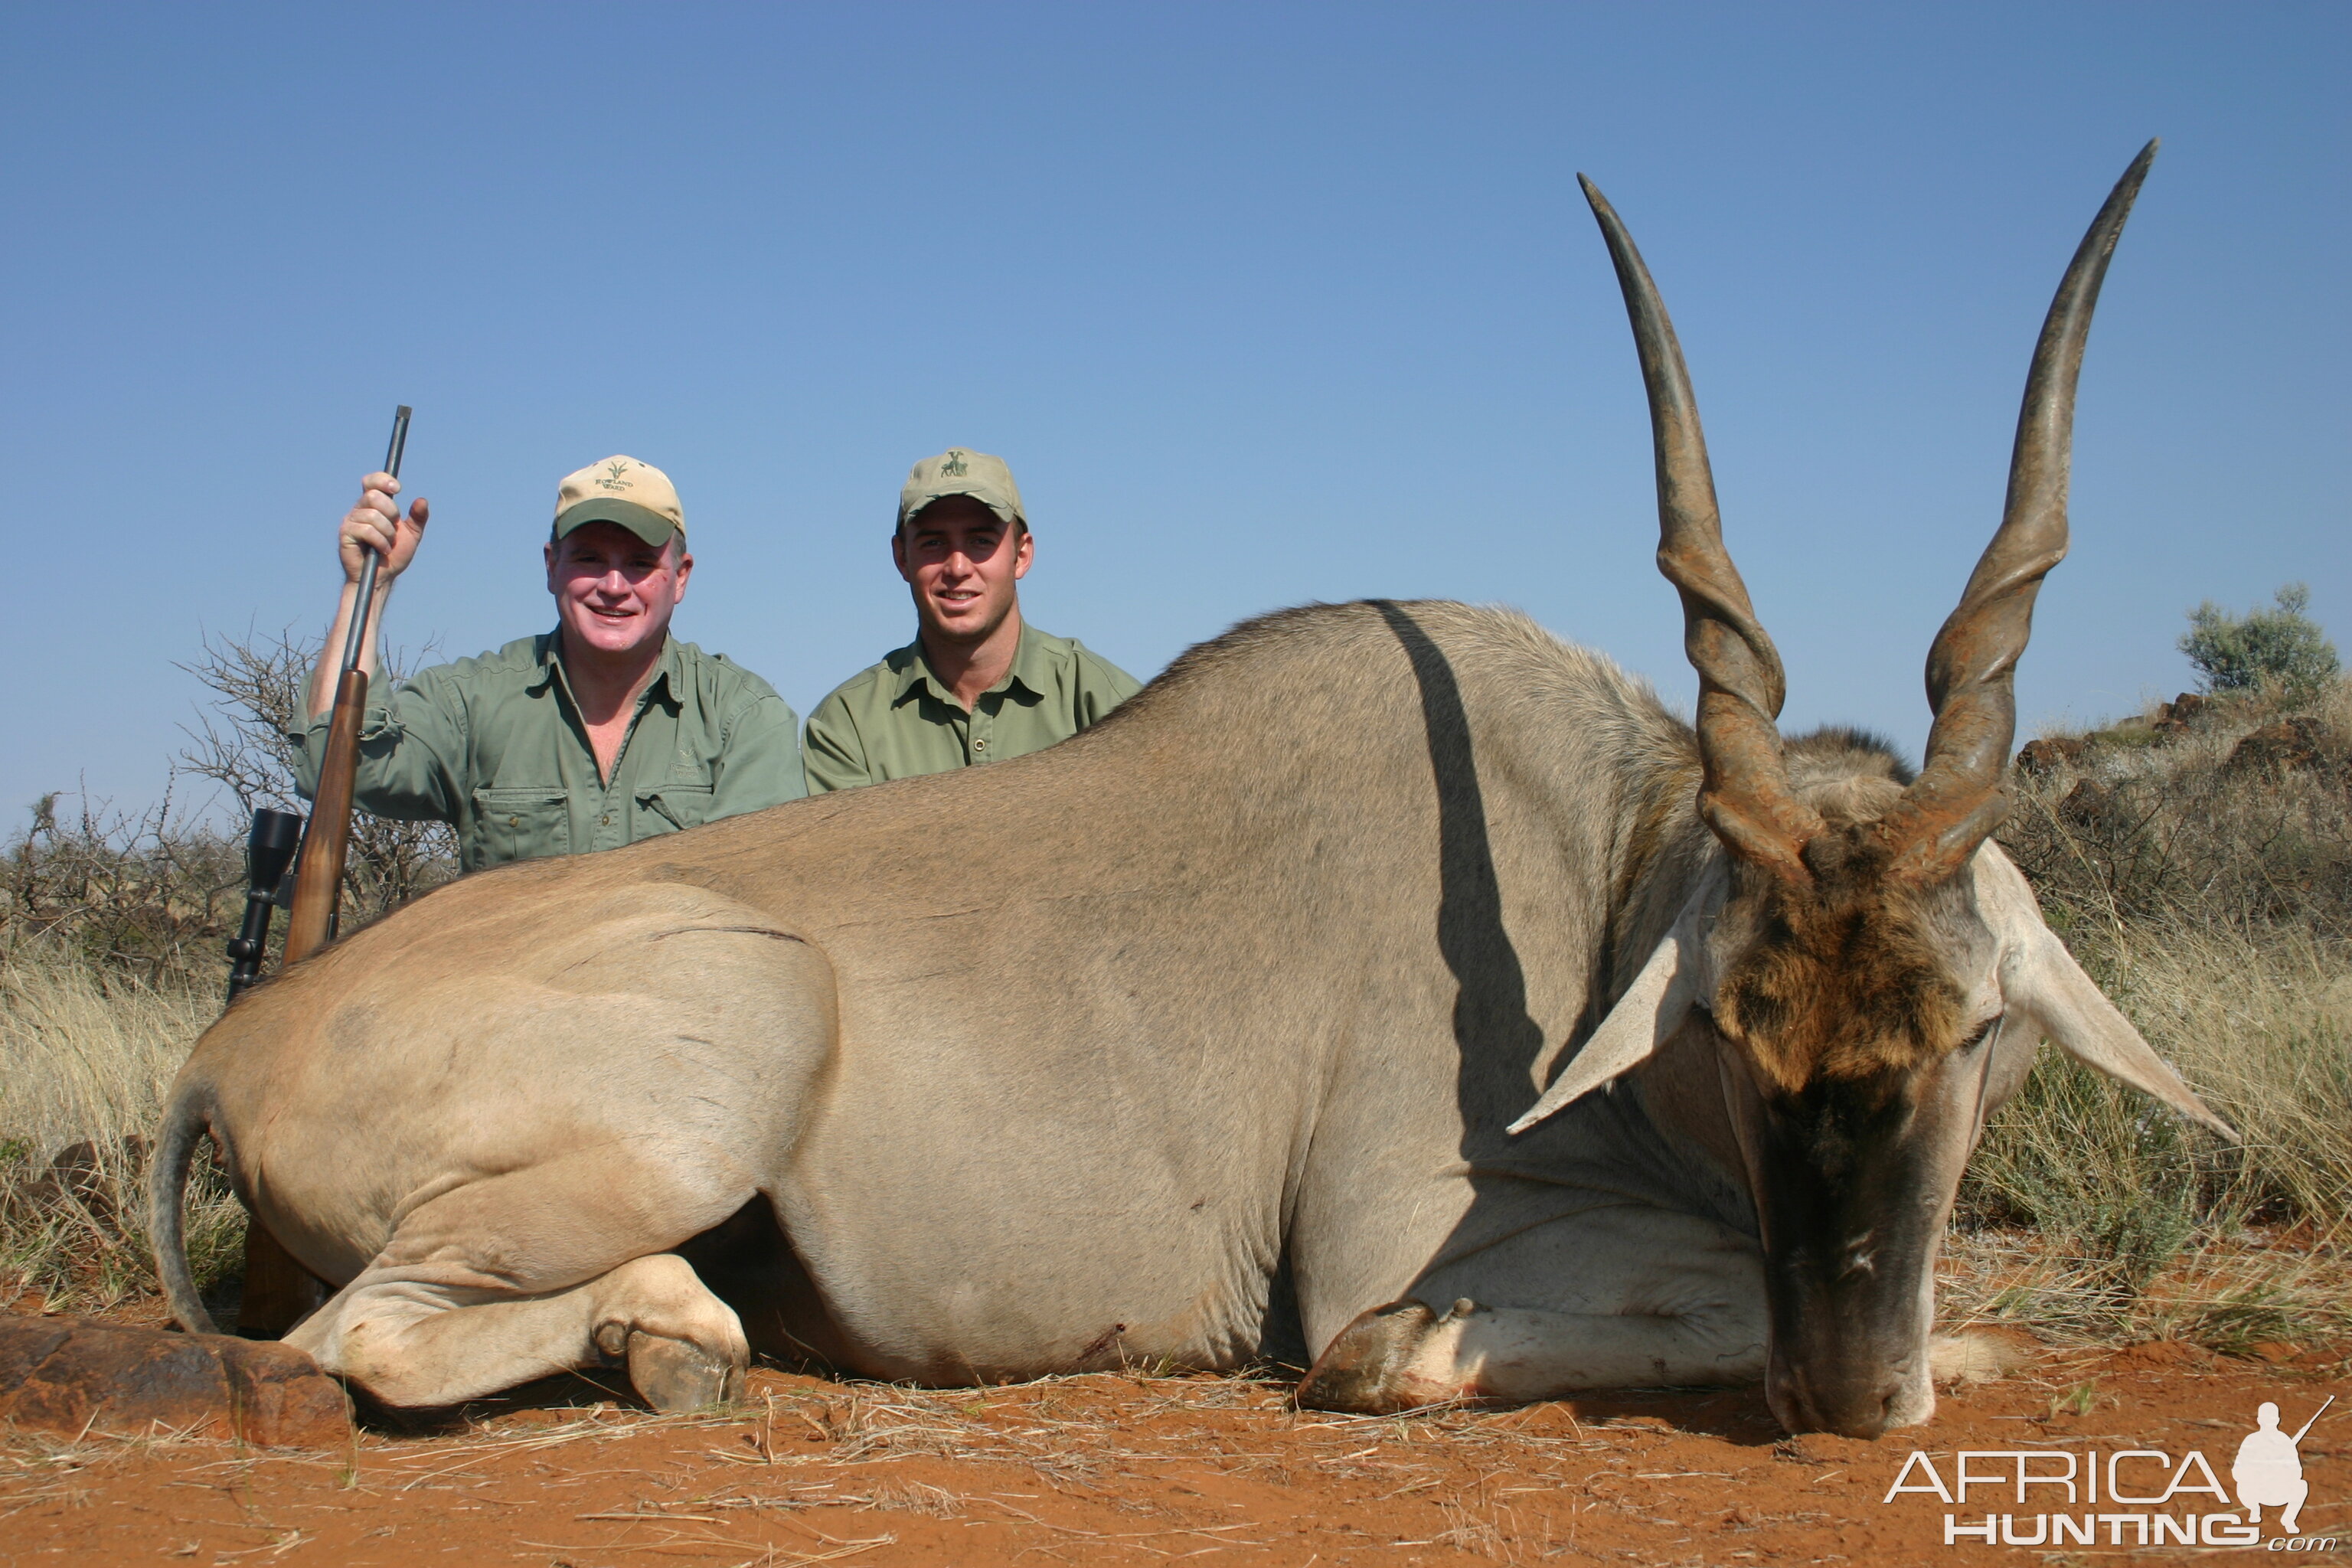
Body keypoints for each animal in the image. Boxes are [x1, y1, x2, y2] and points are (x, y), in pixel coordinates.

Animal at [152, 146, 2220, 1439]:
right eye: (1730, 1019)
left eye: (1971, 1027)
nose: (1849, 1393)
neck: (1595, 869)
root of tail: (236, 1041)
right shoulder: (1408, 1242)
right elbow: (1439, 1336)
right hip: (743, 1031)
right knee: (364, 1333)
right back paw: (666, 1333)